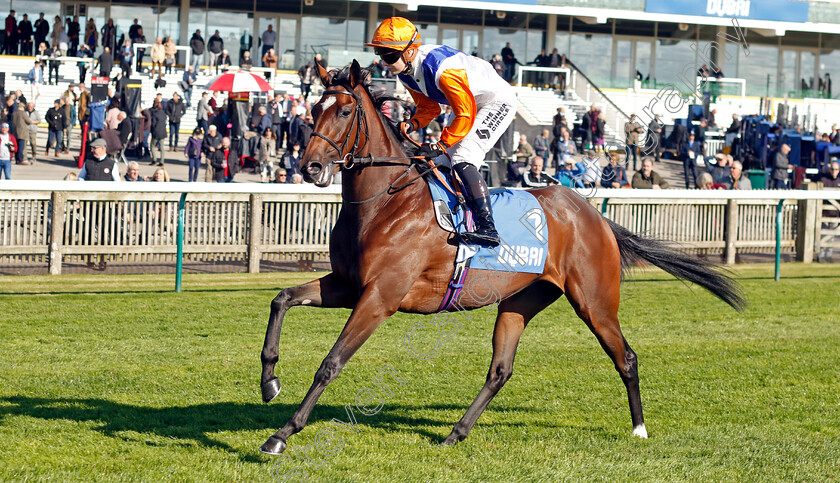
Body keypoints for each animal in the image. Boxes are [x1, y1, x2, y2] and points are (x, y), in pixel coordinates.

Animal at [260, 59, 744, 454]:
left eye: (344, 111)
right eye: (312, 109)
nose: (310, 168)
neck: (384, 203)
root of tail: (596, 217)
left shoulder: (380, 297)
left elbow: (330, 363)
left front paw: (282, 434)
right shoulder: (347, 284)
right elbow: (281, 298)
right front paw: (269, 381)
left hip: (595, 301)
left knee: (625, 357)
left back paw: (640, 429)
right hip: (520, 300)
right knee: (500, 369)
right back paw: (455, 432)